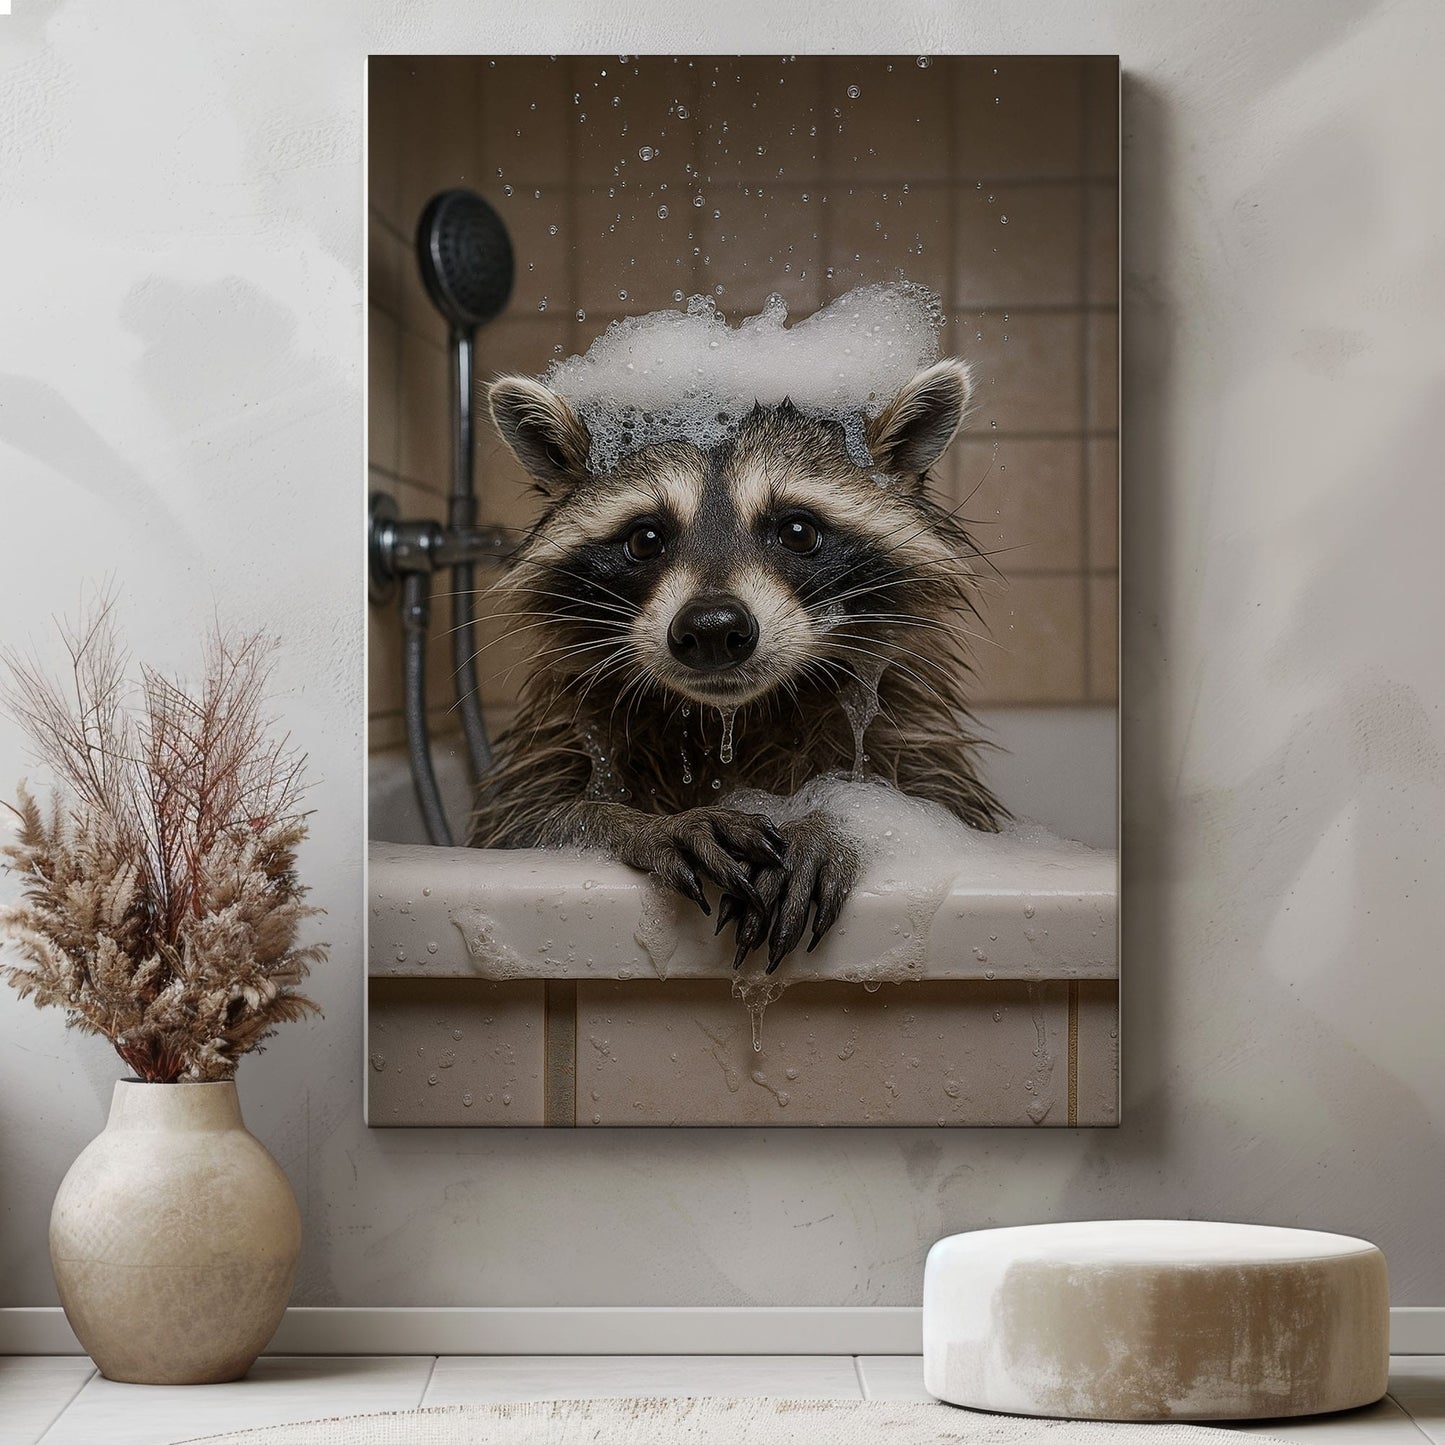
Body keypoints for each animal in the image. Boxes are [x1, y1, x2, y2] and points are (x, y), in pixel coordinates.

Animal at [469, 359, 1006, 972]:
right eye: (645, 538)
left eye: (798, 531)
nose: (711, 630)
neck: (734, 715)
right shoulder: (562, 732)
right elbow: (524, 823)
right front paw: (633, 823)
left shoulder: (907, 727)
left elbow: (927, 809)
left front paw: (834, 823)